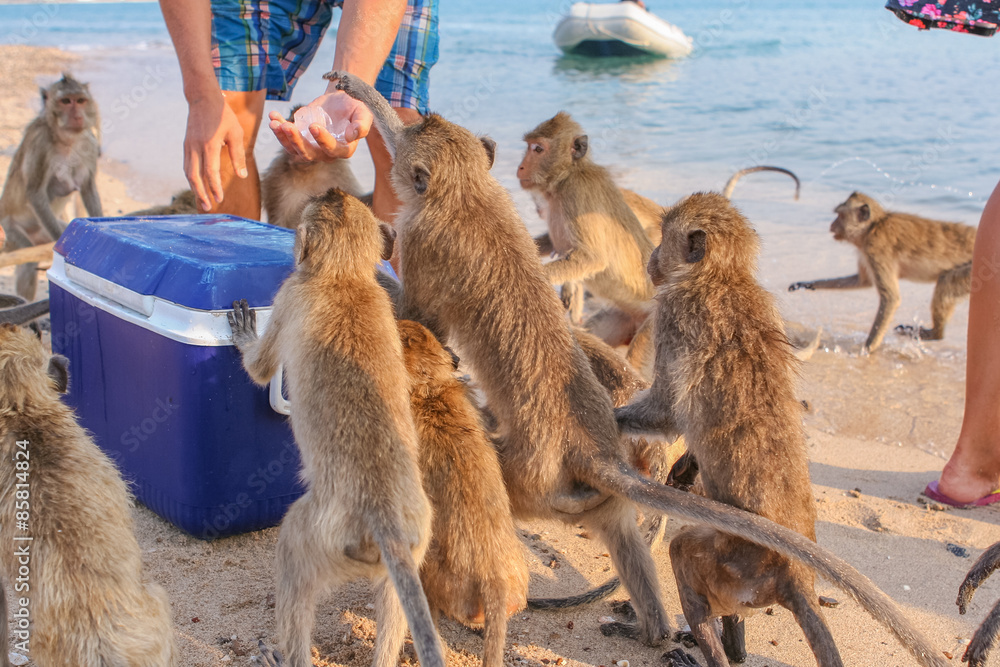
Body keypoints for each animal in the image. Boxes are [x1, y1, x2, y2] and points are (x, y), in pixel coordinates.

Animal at [0, 74, 102, 301]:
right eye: (66, 101)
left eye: (80, 100)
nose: (77, 116)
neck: (67, 139)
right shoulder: (40, 144)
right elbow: (35, 192)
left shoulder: (89, 144)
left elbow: (87, 187)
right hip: (12, 229)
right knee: (27, 262)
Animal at [227, 188, 444, 667]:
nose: (333, 191)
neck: (343, 277)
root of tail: (382, 515)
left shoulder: (290, 293)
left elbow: (260, 369)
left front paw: (244, 336)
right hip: (416, 537)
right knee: (395, 600)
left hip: (322, 536)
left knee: (291, 555)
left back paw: (286, 657)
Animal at [788, 191, 976, 352]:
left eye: (840, 216)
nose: (831, 225)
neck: (874, 226)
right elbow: (863, 281)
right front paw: (807, 284)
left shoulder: (875, 248)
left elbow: (891, 298)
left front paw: (868, 349)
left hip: (971, 270)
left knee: (945, 284)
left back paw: (936, 333)